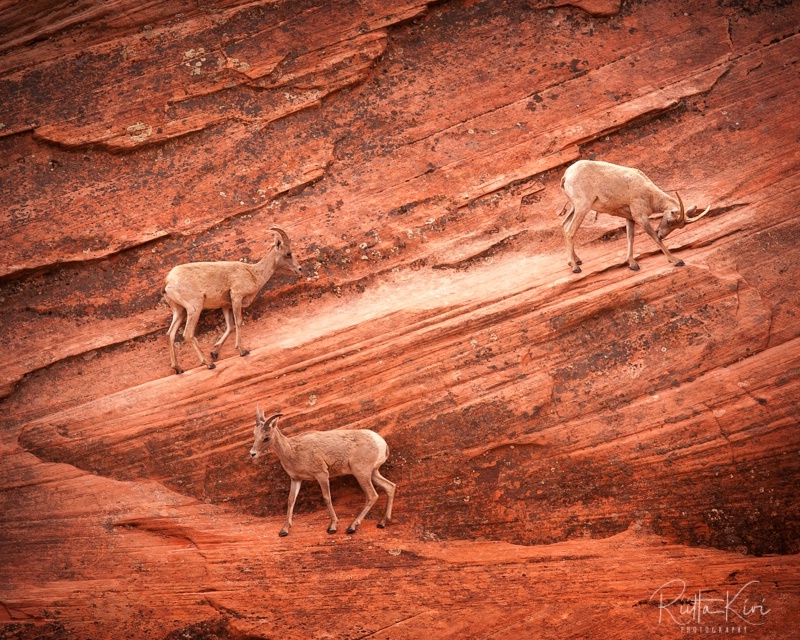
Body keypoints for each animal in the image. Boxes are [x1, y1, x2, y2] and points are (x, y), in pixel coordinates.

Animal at [164, 226, 302, 372]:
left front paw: (214, 352)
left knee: (170, 334)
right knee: (188, 334)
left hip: (179, 311)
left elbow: (230, 326)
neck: (254, 274)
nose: (299, 269)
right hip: (194, 308)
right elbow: (239, 322)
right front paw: (242, 350)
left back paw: (178, 368)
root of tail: (168, 282)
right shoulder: (237, 297)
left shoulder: (226, 306)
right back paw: (209, 364)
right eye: (288, 254)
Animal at [250, 408, 396, 536]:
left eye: (266, 437)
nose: (252, 454)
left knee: (372, 495)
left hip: (361, 473)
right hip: (373, 473)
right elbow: (291, 500)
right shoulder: (296, 479)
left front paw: (332, 527)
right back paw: (382, 522)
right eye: (255, 435)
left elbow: (327, 498)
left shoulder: (322, 475)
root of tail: (382, 443)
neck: (292, 451)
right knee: (390, 487)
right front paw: (284, 530)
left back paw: (352, 527)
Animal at [560, 160, 708, 272]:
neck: (650, 194)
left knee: (565, 226)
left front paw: (632, 264)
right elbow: (655, 239)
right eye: (669, 222)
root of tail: (567, 175)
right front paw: (676, 261)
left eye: (679, 227)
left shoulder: (630, 218)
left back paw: (576, 261)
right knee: (570, 231)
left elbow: (630, 238)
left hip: (574, 207)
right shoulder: (640, 217)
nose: (661, 234)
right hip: (582, 207)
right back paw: (575, 267)